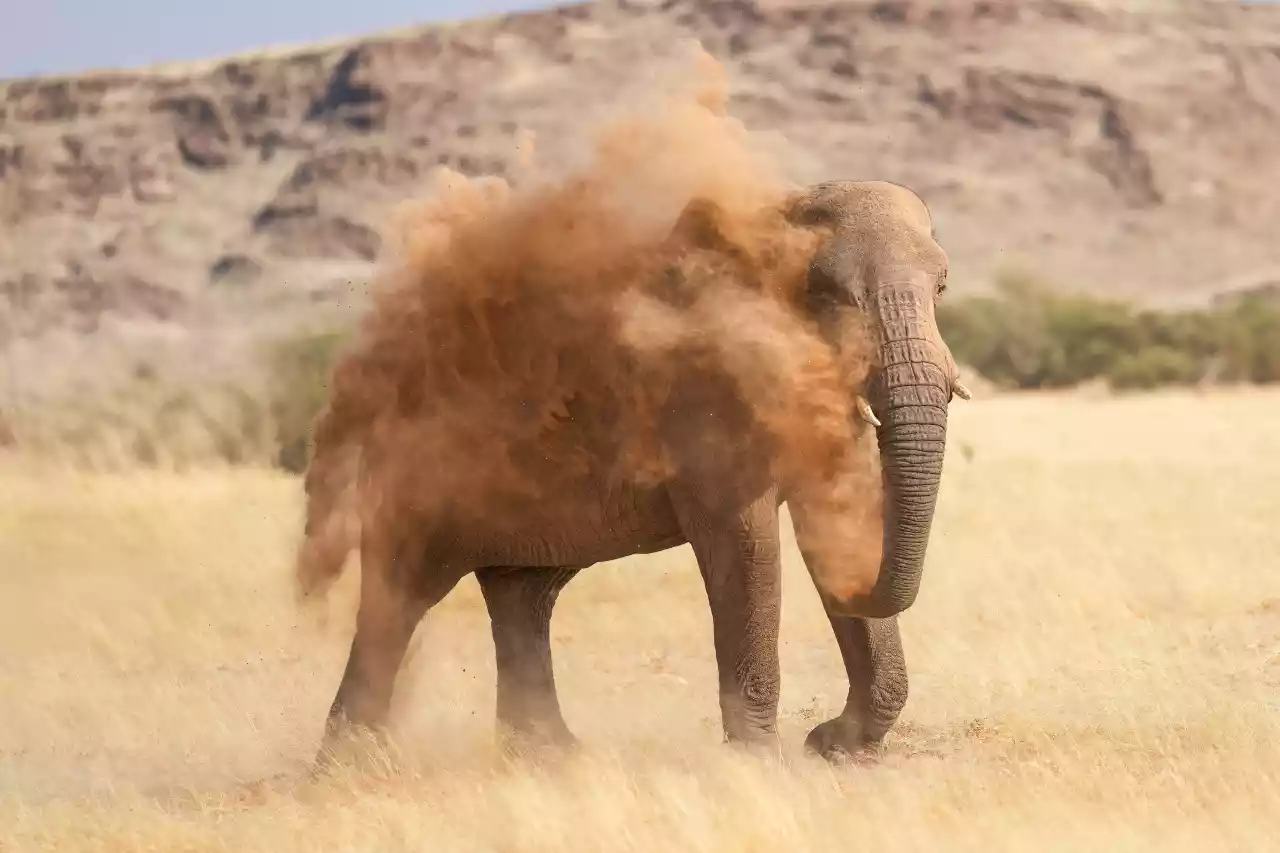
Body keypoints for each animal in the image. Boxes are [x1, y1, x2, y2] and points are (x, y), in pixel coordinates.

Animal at [294, 178, 970, 765]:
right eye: (824, 292)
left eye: (941, 287)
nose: (819, 733)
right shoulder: (704, 394)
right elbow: (745, 546)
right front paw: (759, 764)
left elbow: (834, 510)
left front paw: (838, 751)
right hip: (415, 469)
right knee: (399, 597)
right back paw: (351, 768)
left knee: (521, 593)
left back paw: (550, 759)